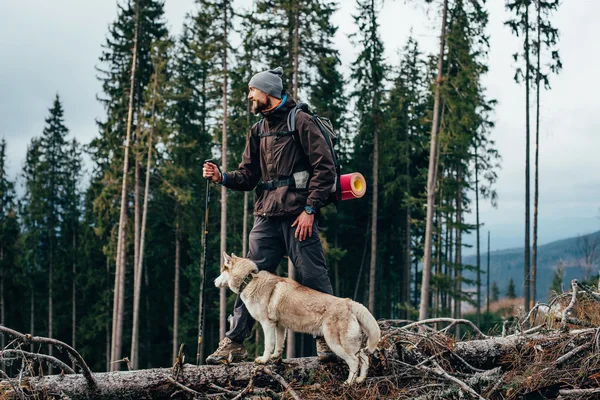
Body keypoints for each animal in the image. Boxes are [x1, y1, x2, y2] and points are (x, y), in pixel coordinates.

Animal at [214, 252, 380, 386]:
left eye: (221, 271)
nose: (214, 282)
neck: (249, 280)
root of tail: (349, 302)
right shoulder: (280, 326)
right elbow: (279, 345)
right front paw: (275, 357)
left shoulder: (267, 324)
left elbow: (268, 344)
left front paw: (264, 360)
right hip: (350, 344)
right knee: (364, 357)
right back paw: (360, 380)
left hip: (336, 343)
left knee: (354, 361)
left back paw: (349, 383)